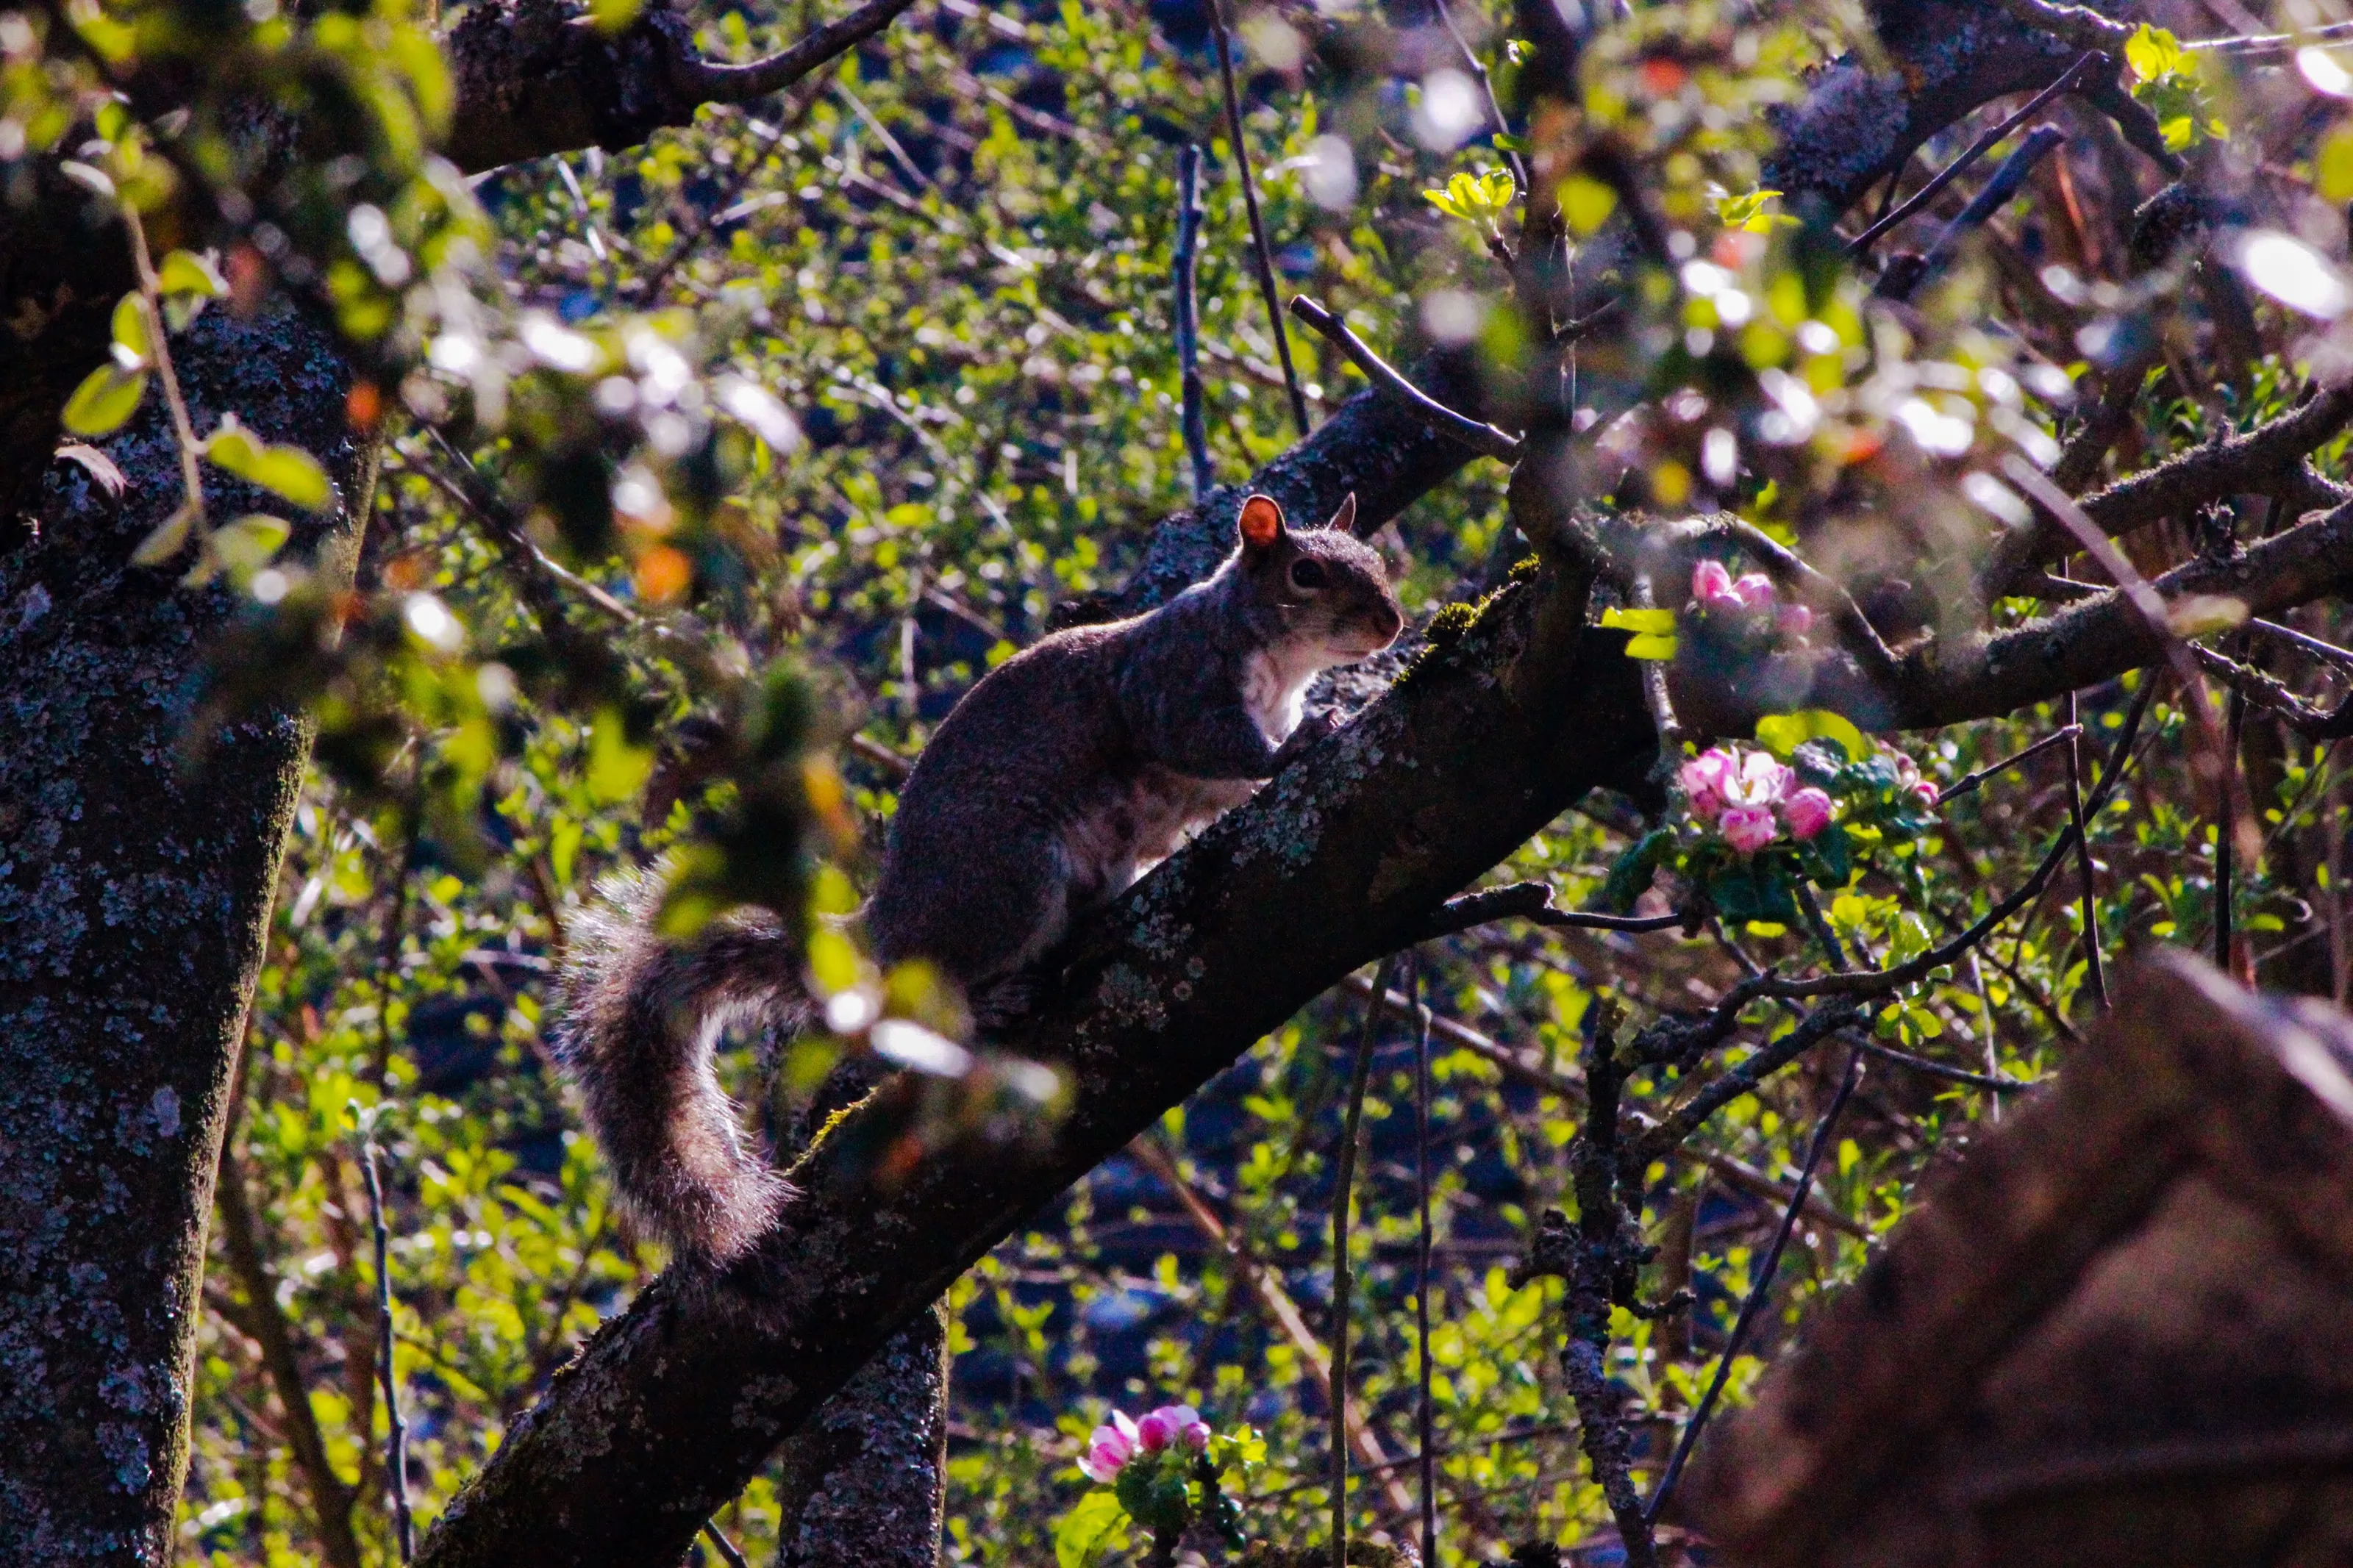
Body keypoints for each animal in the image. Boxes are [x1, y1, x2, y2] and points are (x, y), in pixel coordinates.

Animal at [552, 492, 1405, 1262]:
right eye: (1305, 574)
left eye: (1374, 560)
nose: (1390, 624)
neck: (1271, 657)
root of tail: (887, 923)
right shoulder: (1174, 689)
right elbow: (1216, 747)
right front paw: (1298, 745)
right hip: (1011, 883)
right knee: (934, 992)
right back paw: (990, 1000)